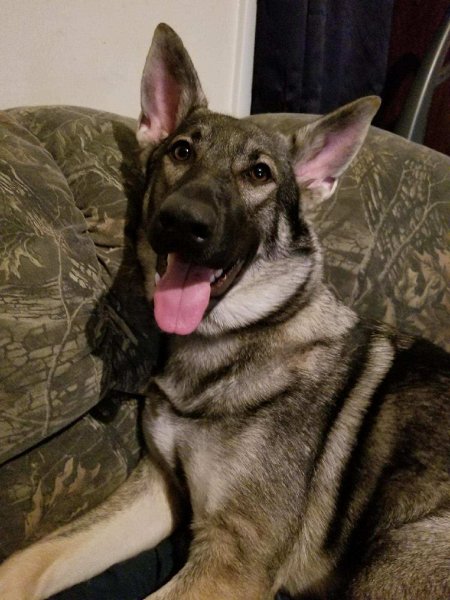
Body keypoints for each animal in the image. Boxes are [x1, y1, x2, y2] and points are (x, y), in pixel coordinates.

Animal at [0, 22, 450, 600]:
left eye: (259, 173)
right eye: (181, 150)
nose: (182, 222)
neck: (230, 340)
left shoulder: (231, 558)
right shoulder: (160, 487)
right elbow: (27, 562)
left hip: (395, 557)